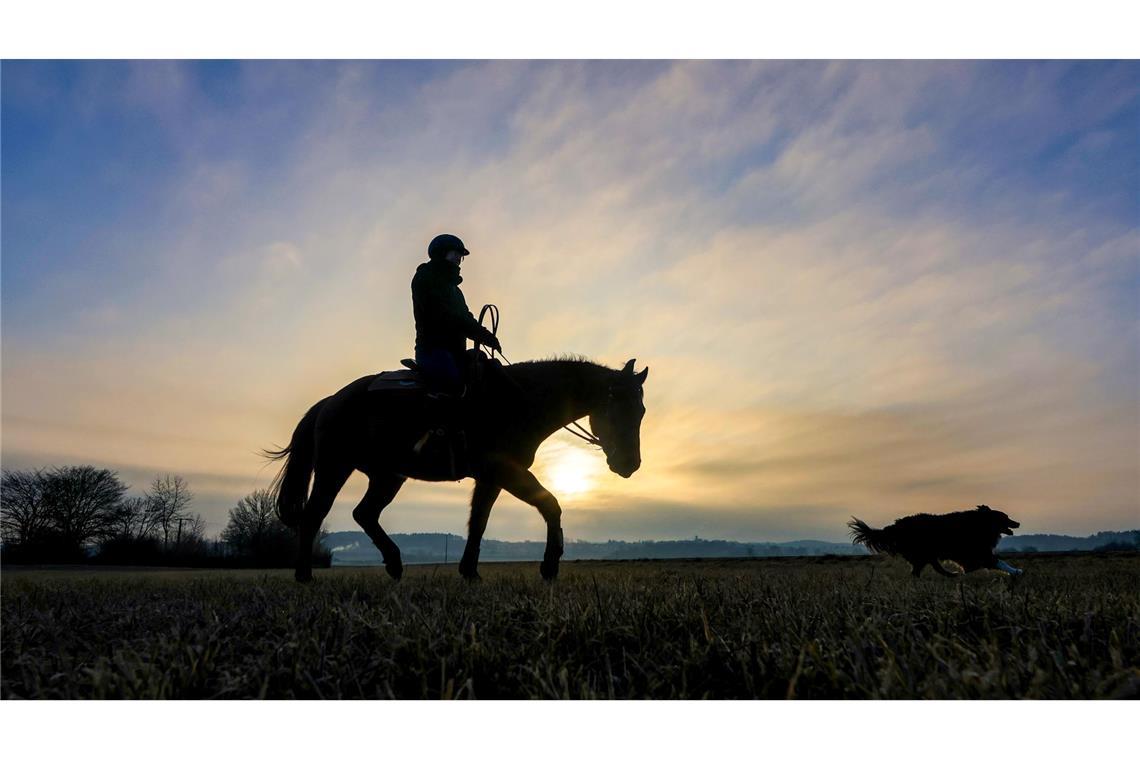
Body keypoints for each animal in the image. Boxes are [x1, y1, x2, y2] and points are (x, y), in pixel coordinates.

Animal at [261, 357, 647, 583]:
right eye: (619, 407)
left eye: (641, 411)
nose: (630, 464)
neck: (519, 399)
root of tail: (329, 402)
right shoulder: (504, 471)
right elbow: (550, 504)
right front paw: (550, 565)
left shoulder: (492, 478)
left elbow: (478, 522)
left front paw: (470, 571)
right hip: (334, 469)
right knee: (315, 514)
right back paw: (304, 575)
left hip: (388, 476)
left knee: (365, 513)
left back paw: (395, 564)